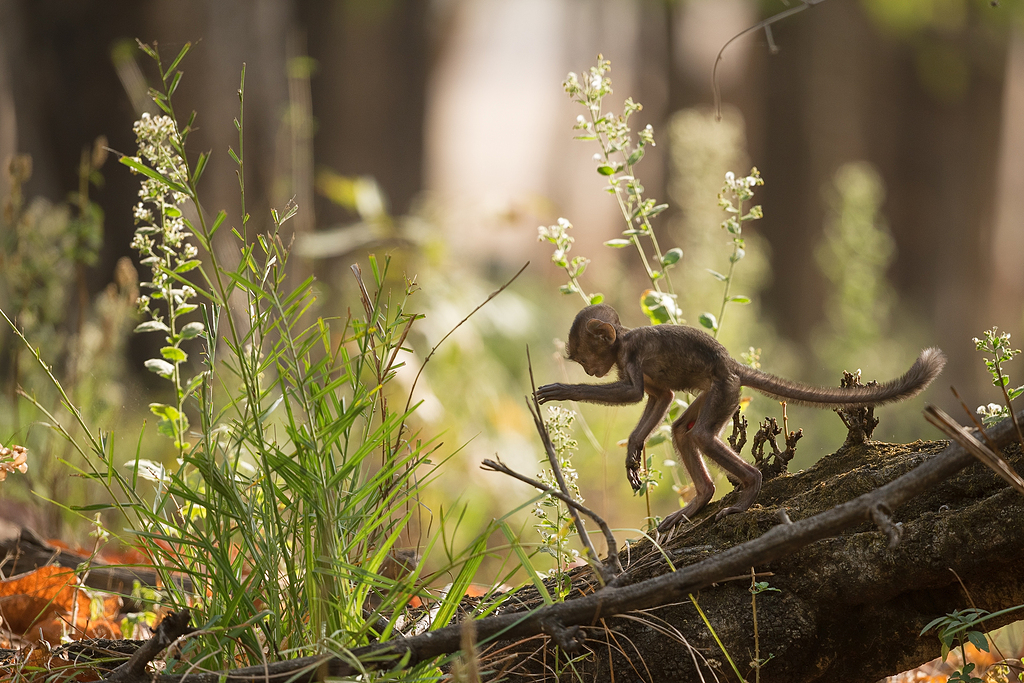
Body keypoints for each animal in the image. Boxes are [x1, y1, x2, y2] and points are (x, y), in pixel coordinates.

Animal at [536, 305, 942, 532]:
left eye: (584, 357)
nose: (588, 371)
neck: (622, 342)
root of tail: (730, 365)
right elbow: (661, 397)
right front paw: (634, 450)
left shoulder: (631, 355)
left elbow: (635, 394)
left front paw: (564, 390)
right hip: (720, 391)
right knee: (682, 432)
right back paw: (701, 498)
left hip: (724, 390)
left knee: (701, 435)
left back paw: (750, 488)